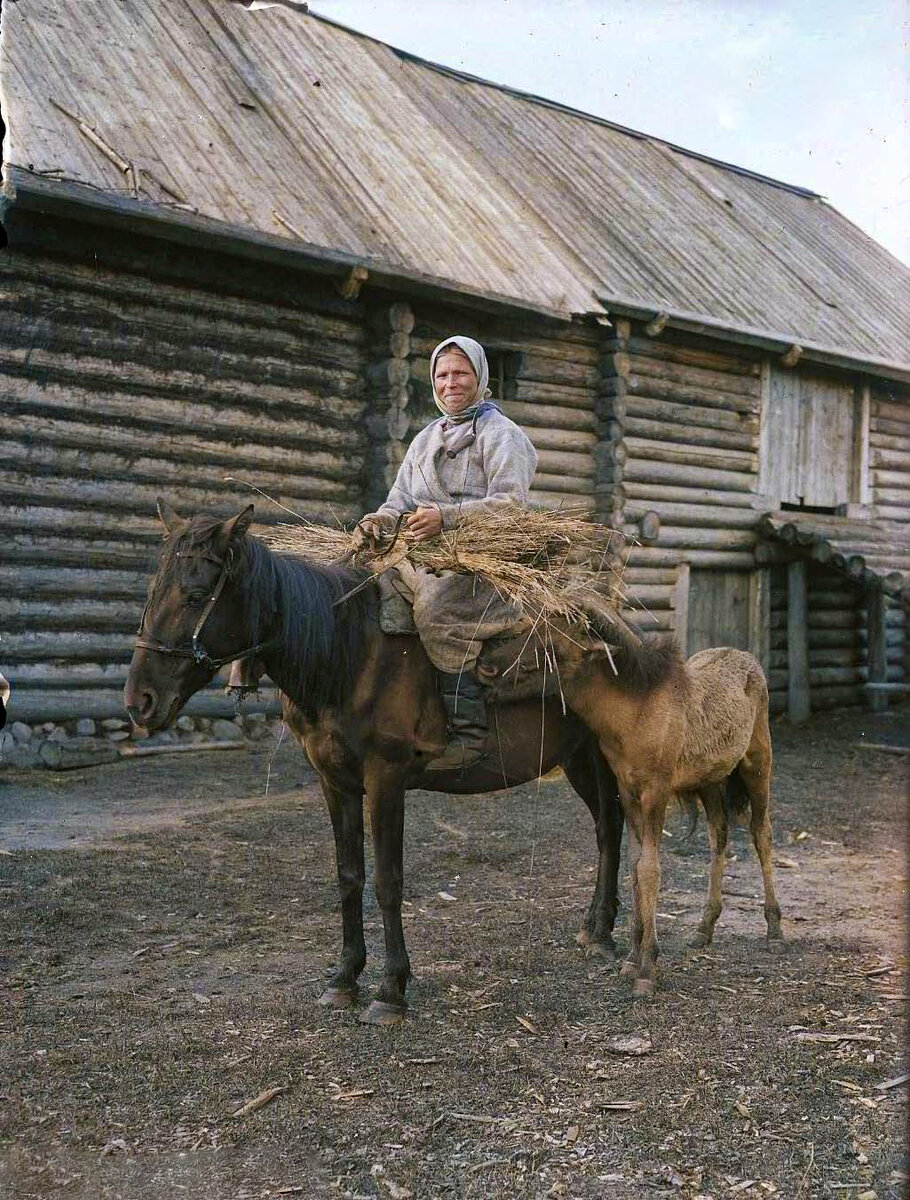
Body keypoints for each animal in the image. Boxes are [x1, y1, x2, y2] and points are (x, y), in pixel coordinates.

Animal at [124, 501, 624, 1027]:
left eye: (196, 596)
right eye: (153, 592)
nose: (140, 701)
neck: (347, 654)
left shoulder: (385, 780)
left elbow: (387, 881)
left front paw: (391, 990)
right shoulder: (335, 783)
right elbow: (349, 876)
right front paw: (344, 978)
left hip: (600, 755)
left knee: (611, 828)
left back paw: (604, 936)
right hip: (577, 760)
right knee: (606, 829)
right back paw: (595, 929)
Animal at [480, 628, 787, 993]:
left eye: (552, 648)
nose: (486, 667)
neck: (627, 723)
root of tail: (751, 662)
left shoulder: (657, 790)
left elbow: (650, 869)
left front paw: (647, 968)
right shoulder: (628, 791)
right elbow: (634, 866)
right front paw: (631, 958)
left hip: (758, 761)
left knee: (761, 833)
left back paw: (774, 930)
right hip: (710, 779)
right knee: (719, 832)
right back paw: (704, 926)